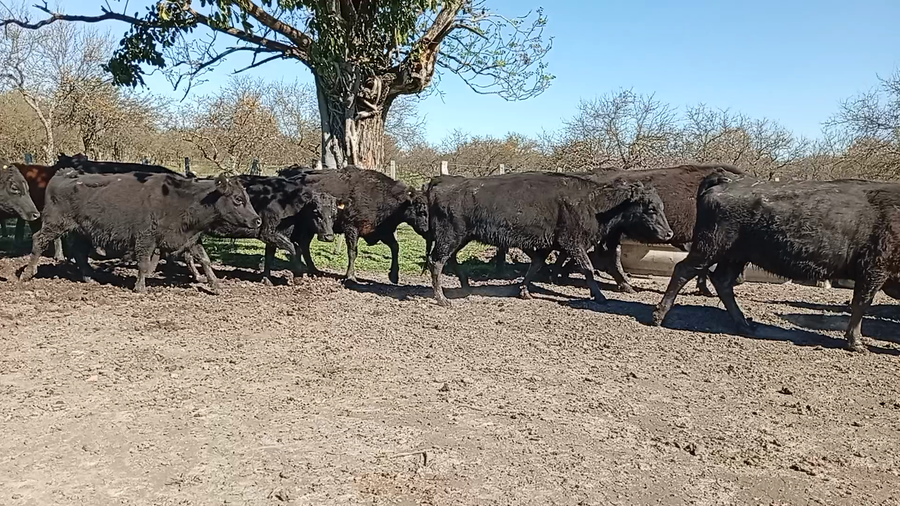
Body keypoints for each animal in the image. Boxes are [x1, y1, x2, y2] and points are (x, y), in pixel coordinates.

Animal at [19, 170, 260, 293]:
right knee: (39, 241)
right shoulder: (146, 238)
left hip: (82, 231)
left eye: (246, 198)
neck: (180, 198)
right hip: (54, 224)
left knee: (79, 253)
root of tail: (63, 174)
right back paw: (27, 273)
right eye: (238, 199)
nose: (257, 220)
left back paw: (89, 278)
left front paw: (216, 285)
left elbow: (205, 260)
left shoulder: (189, 239)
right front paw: (140, 287)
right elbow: (143, 263)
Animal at [180, 174, 340, 284]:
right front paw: (298, 277)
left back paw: (198, 276)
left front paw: (266, 279)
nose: (329, 236)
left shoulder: (273, 238)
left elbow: (270, 256)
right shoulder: (268, 233)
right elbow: (294, 249)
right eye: (316, 212)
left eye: (333, 214)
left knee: (188, 255)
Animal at [277, 165, 428, 284]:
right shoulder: (351, 228)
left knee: (304, 244)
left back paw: (313, 269)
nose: (427, 230)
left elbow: (395, 247)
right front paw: (350, 276)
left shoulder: (383, 232)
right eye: (421, 211)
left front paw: (394, 276)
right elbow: (352, 252)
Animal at [426, 171, 674, 306]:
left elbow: (536, 265)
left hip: (460, 238)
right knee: (437, 262)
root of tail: (442, 182)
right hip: (451, 236)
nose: (669, 233)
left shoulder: (545, 245)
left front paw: (524, 291)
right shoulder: (572, 243)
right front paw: (600, 296)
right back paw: (442, 299)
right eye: (650, 208)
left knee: (447, 260)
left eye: (661, 206)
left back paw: (464, 286)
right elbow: (587, 268)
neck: (593, 203)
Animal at [652, 171, 900, 352]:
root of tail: (729, 180)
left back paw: (745, 325)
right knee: (684, 270)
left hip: (734, 256)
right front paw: (856, 343)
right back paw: (659, 316)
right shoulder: (874, 271)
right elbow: (861, 304)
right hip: (709, 248)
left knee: (722, 281)